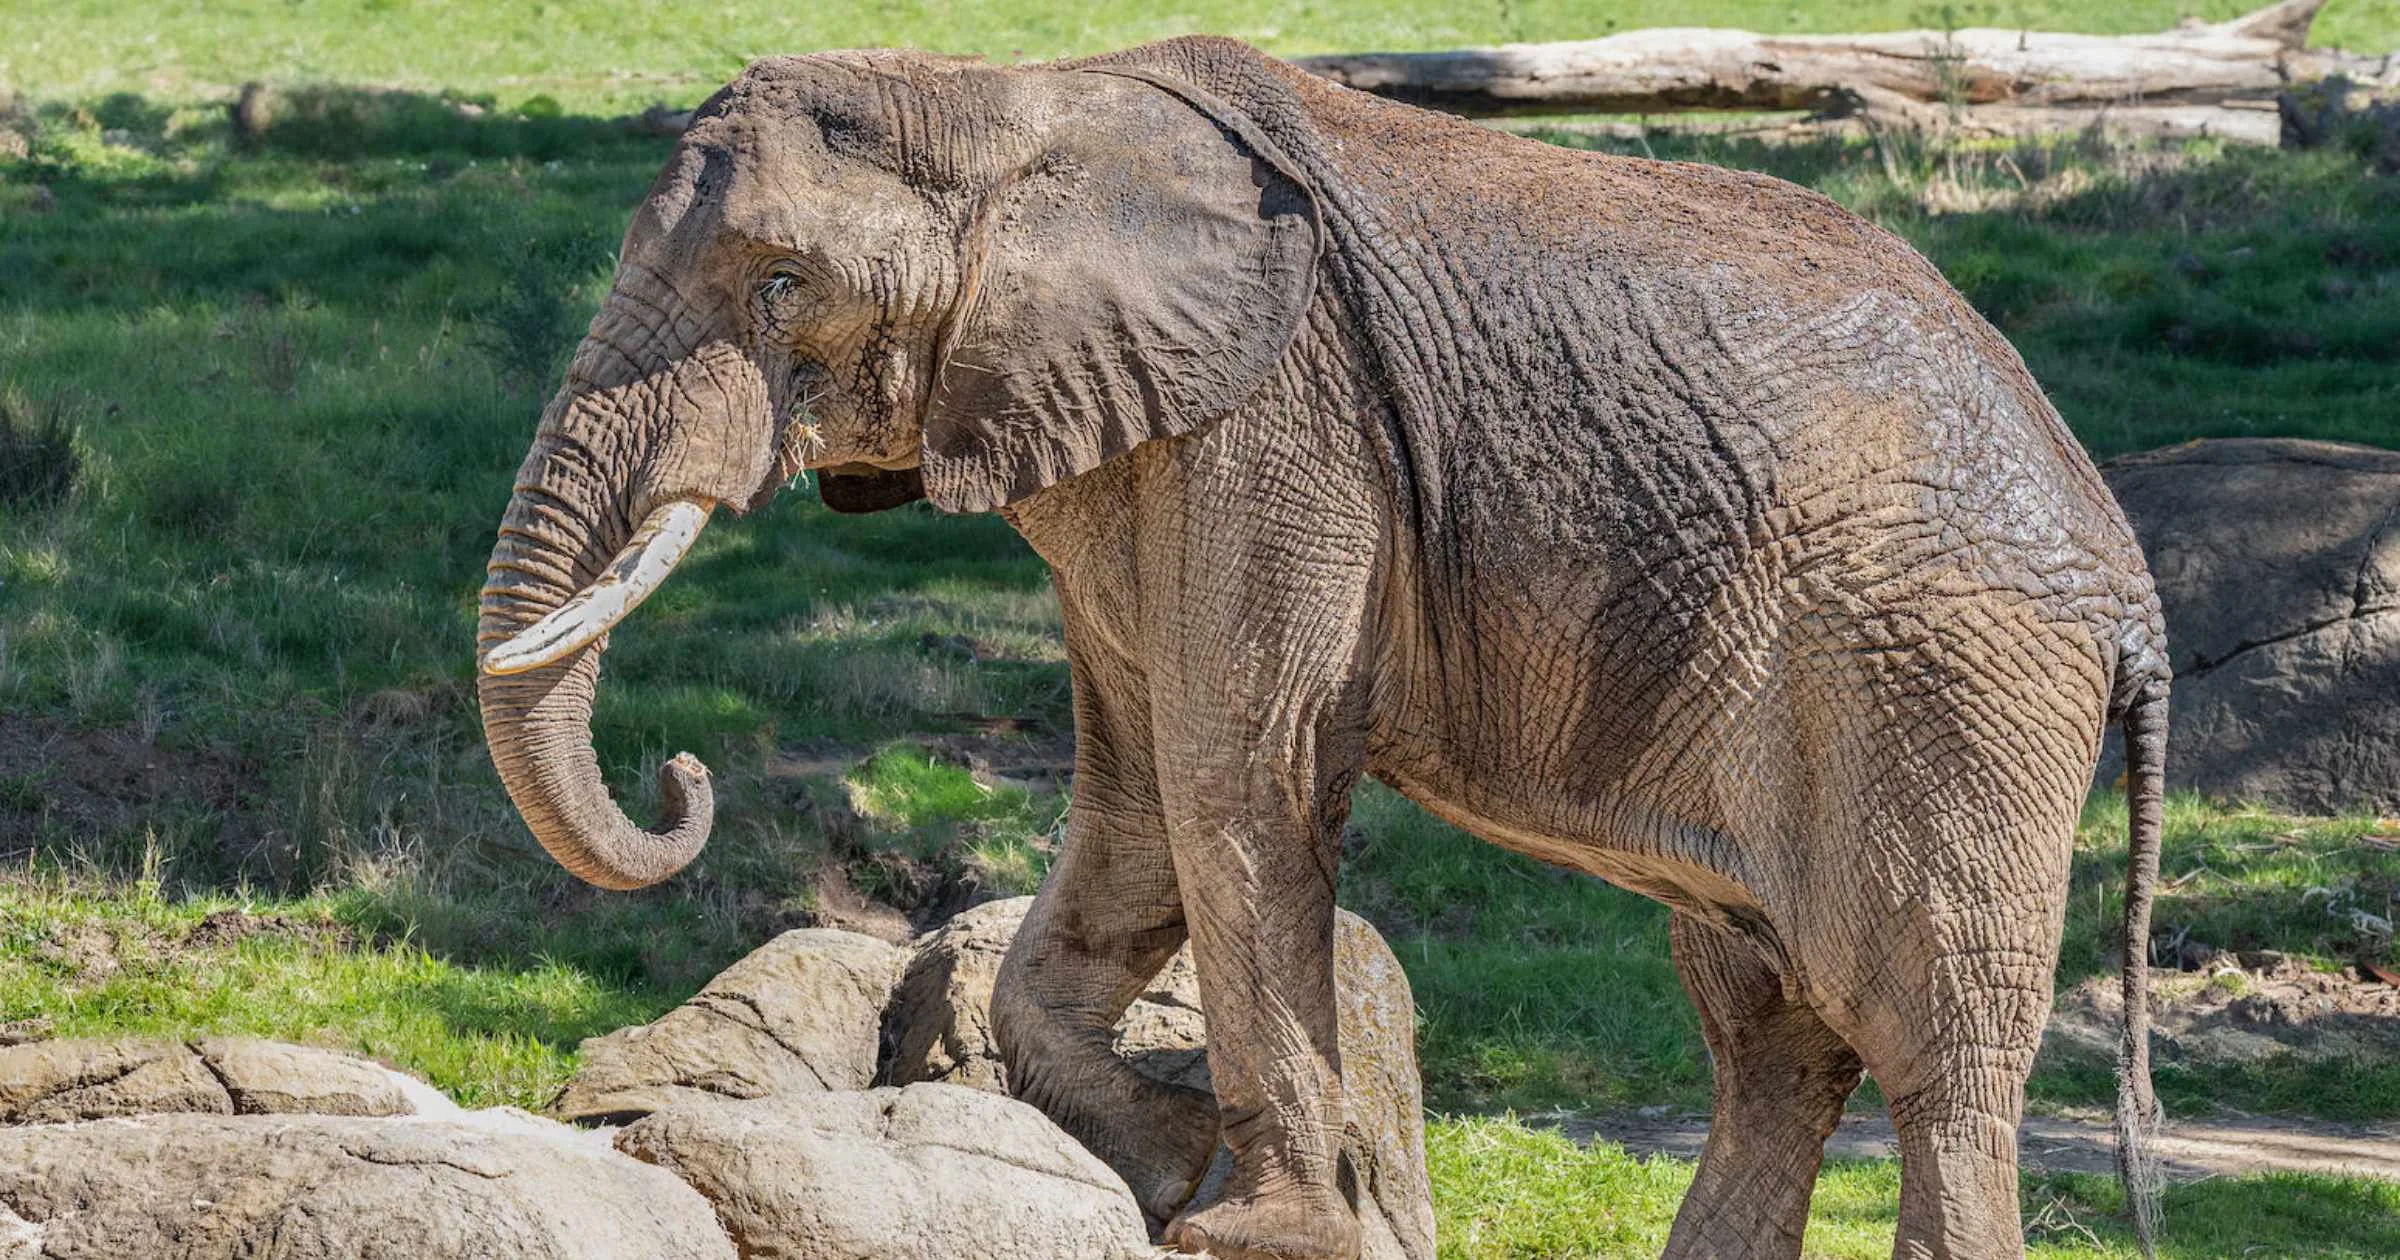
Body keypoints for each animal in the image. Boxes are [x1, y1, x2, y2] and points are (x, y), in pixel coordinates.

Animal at [474, 37, 2171, 1260]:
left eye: (779, 286)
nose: (680, 774)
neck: (1012, 96)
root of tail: (2131, 582)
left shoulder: (1280, 426)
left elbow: (1240, 783)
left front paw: (1254, 1225)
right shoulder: (1129, 455)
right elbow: (1137, 810)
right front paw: (1171, 1163)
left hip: (1950, 687)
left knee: (1929, 1040)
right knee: (1772, 1031)